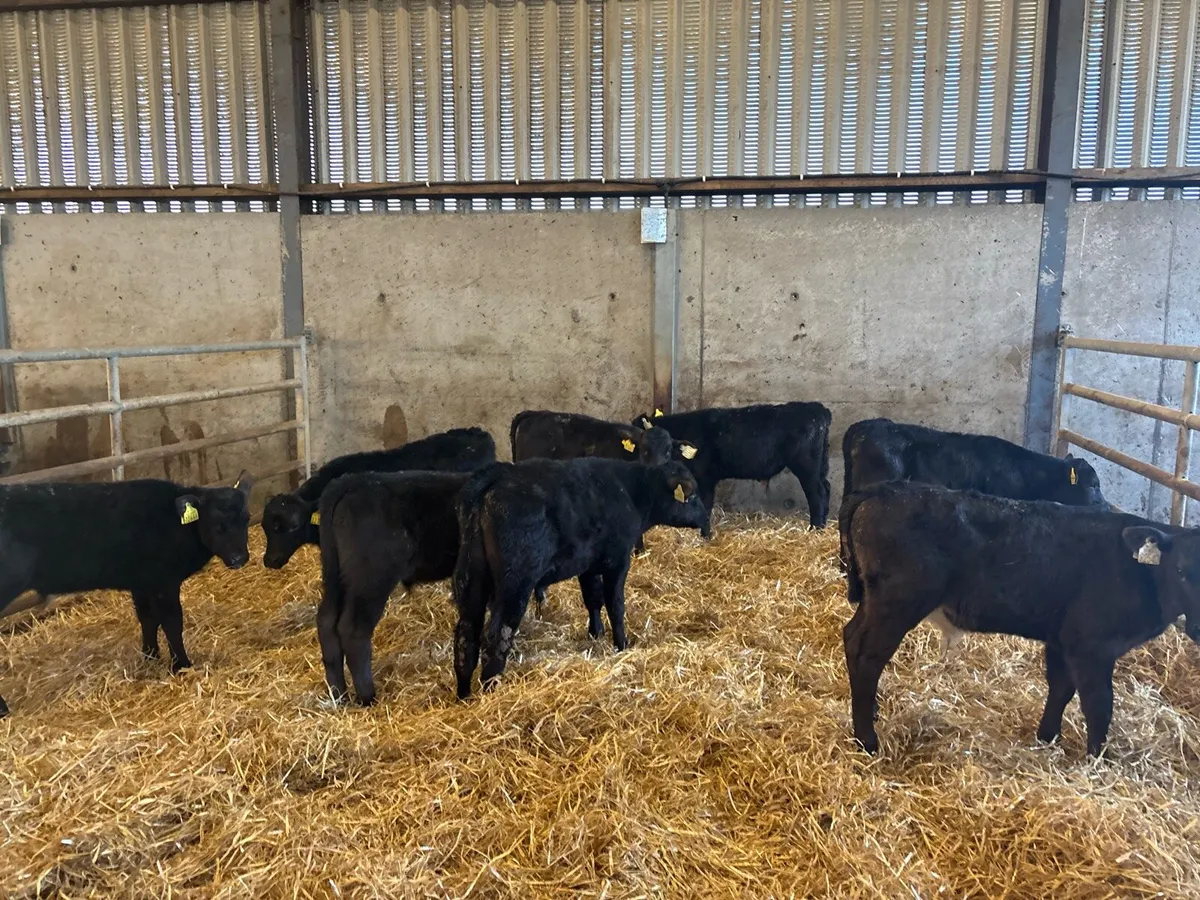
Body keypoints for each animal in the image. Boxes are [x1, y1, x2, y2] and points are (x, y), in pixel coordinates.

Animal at [0, 472, 253, 715]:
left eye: (246, 519)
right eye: (216, 523)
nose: (239, 558)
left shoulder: (142, 582)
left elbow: (148, 619)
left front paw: (150, 656)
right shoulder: (165, 582)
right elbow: (172, 622)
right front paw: (182, 665)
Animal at [315, 470, 469, 706]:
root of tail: (351, 481)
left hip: (334, 578)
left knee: (327, 622)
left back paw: (339, 695)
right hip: (371, 580)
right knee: (353, 629)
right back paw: (367, 696)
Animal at [452, 458, 709, 699]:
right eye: (693, 495)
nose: (707, 521)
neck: (631, 491)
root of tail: (496, 475)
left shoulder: (589, 566)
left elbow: (593, 599)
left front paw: (596, 634)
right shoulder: (617, 560)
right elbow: (615, 605)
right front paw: (622, 644)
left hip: (472, 577)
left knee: (466, 633)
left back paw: (464, 695)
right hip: (515, 581)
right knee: (496, 634)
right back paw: (491, 690)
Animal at [633, 403, 832, 537]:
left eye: (666, 450)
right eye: (643, 448)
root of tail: (817, 408)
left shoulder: (705, 478)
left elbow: (706, 504)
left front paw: (705, 535)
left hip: (806, 465)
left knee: (817, 493)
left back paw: (815, 529)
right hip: (820, 465)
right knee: (826, 488)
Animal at [841, 481, 1197, 757]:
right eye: (1181, 571)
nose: (1196, 628)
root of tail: (885, 490)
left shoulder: (1062, 638)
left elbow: (1061, 688)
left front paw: (1047, 737)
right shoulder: (1091, 645)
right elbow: (1099, 705)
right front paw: (1098, 761)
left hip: (876, 601)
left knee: (850, 636)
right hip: (897, 603)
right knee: (866, 655)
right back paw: (867, 741)